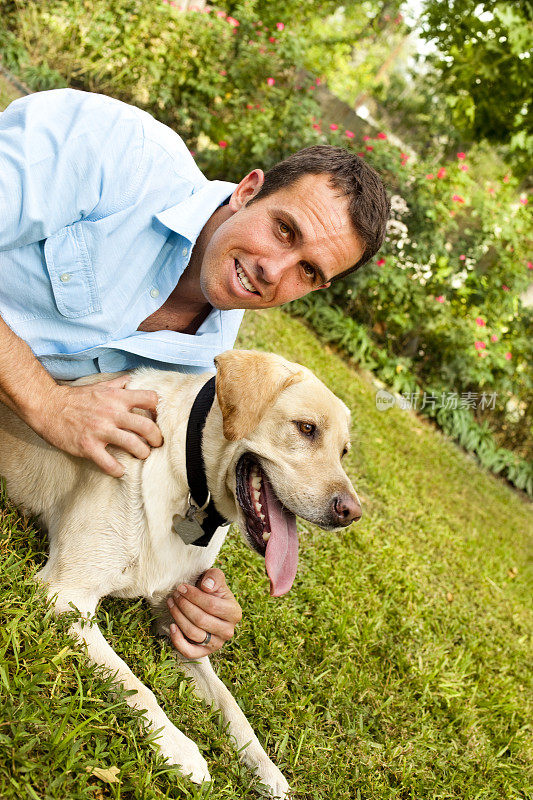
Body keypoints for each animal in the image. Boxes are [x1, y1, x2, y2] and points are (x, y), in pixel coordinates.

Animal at [0, 350, 362, 800]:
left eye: (344, 451)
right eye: (307, 428)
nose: (352, 512)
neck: (189, 479)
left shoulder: (178, 623)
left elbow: (230, 705)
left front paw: (267, 771)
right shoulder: (65, 593)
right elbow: (134, 683)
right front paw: (180, 749)